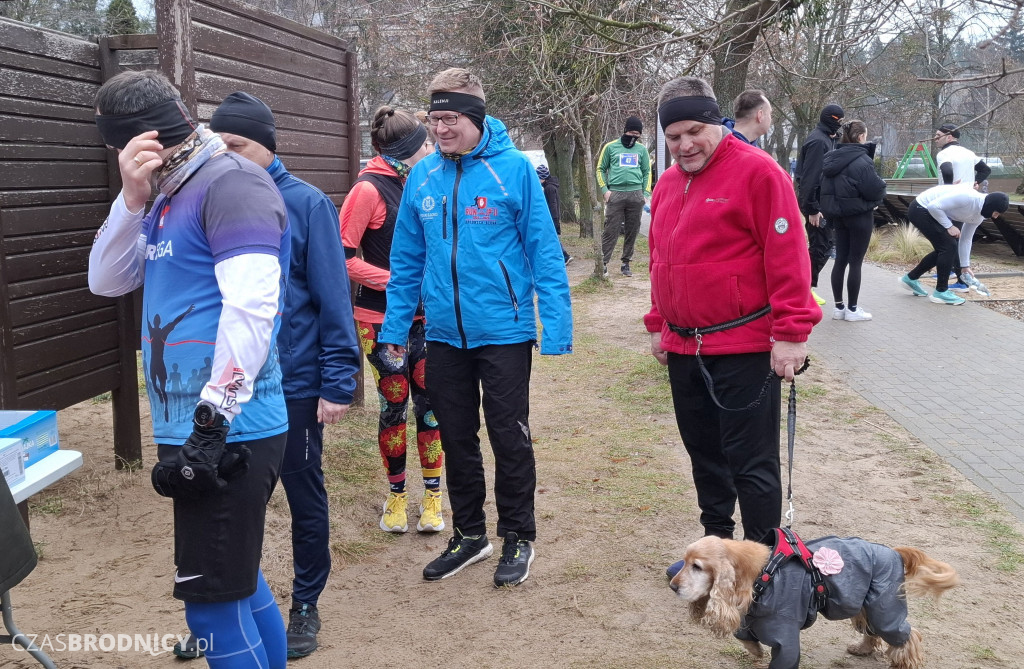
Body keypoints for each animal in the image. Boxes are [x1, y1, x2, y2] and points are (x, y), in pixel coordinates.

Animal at [667, 532, 954, 667]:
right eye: (685, 561)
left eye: (697, 566)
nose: (672, 586)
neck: (763, 573)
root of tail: (895, 552)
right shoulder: (752, 617)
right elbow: (745, 637)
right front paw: (756, 651)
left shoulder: (784, 633)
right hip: (866, 604)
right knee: (873, 631)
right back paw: (861, 648)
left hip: (884, 606)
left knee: (907, 635)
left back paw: (905, 662)